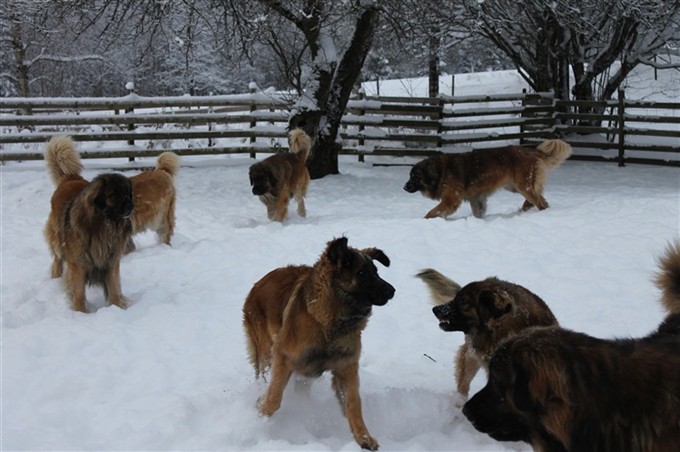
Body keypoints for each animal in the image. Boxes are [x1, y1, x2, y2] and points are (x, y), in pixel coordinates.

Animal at [43, 136, 133, 312]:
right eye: (113, 194)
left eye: (127, 193)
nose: (130, 206)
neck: (102, 226)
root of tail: (70, 177)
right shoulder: (77, 264)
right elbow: (78, 293)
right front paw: (80, 313)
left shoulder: (111, 261)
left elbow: (114, 288)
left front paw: (117, 307)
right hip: (57, 240)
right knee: (57, 258)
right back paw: (55, 276)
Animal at [243, 238, 394, 450]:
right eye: (362, 273)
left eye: (376, 271)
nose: (392, 291)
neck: (329, 324)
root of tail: (259, 283)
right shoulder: (283, 357)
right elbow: (273, 399)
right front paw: (258, 415)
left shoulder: (346, 367)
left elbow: (354, 403)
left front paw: (364, 437)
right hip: (266, 354)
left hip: (304, 370)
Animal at [404, 140, 572, 220]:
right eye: (410, 176)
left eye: (414, 177)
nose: (405, 187)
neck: (441, 172)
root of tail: (531, 151)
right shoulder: (475, 198)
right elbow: (478, 211)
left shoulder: (451, 199)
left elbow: (433, 211)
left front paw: (424, 220)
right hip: (515, 186)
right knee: (539, 197)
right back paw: (525, 208)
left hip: (522, 184)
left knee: (540, 201)